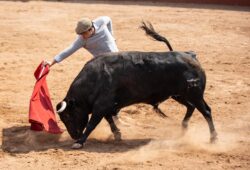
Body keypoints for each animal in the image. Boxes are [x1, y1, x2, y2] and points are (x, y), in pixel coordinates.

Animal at [56, 22, 217, 149]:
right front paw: (117, 134)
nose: (74, 135)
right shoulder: (105, 105)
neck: (95, 78)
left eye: (68, 116)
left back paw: (213, 138)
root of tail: (190, 55)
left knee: (206, 111)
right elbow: (109, 120)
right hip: (179, 94)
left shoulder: (101, 105)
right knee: (191, 107)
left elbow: (92, 124)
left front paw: (79, 142)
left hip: (195, 94)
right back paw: (183, 130)